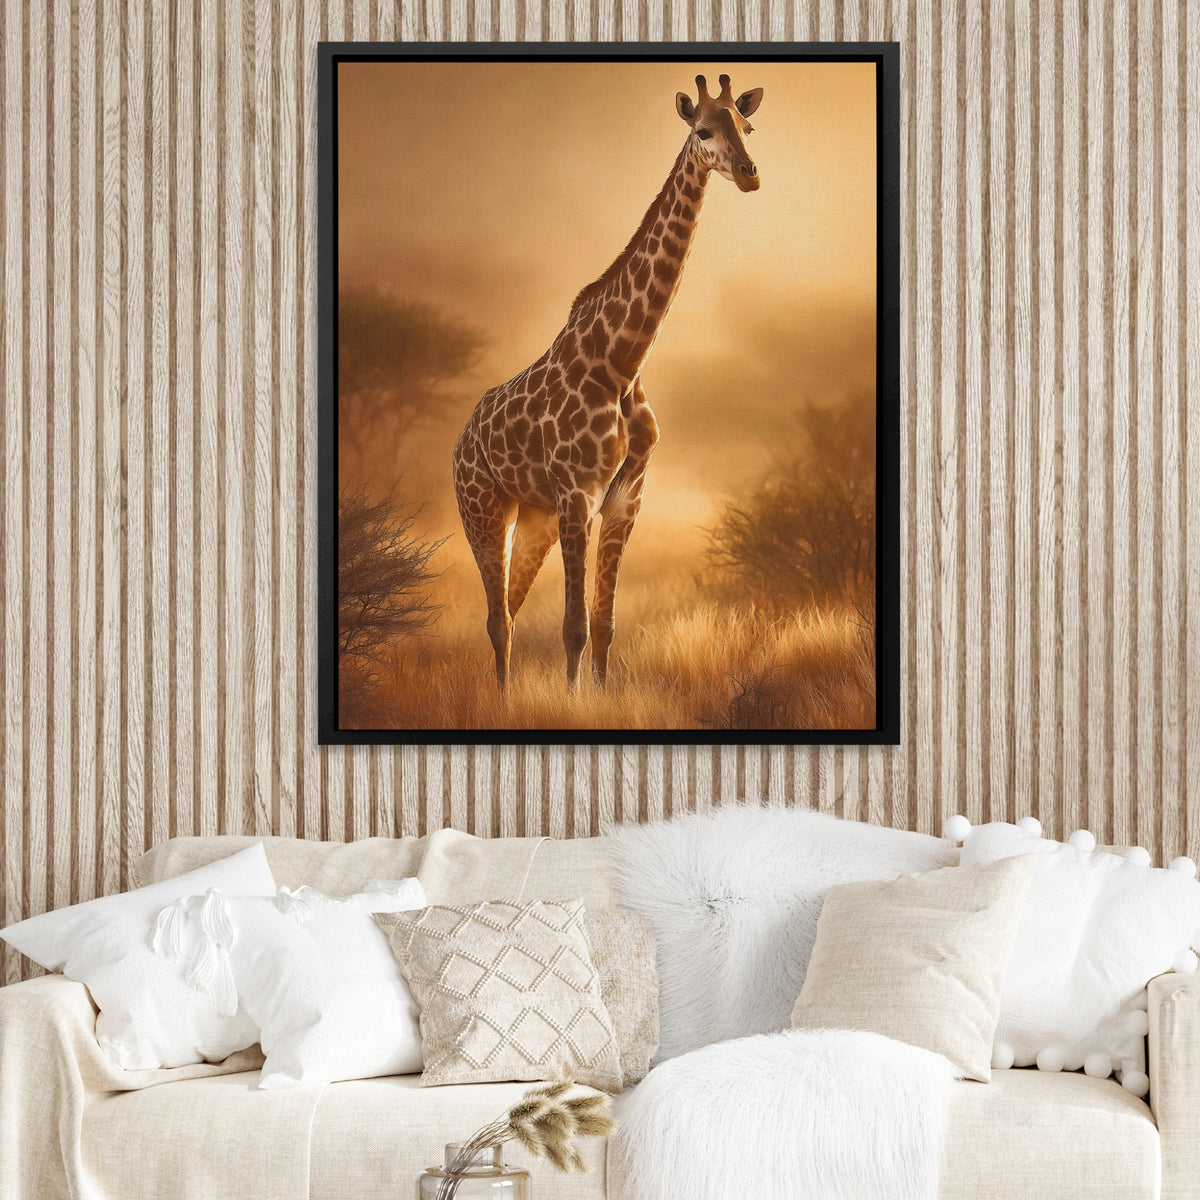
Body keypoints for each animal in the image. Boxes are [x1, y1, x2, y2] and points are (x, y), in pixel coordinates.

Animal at [453, 73, 764, 690]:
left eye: (747, 125)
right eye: (703, 130)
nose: (748, 173)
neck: (622, 362)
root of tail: (460, 441)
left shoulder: (626, 499)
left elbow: (604, 625)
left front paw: (598, 694)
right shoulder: (578, 495)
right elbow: (573, 626)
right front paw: (571, 699)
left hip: (535, 519)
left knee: (511, 611)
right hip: (484, 509)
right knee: (497, 619)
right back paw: (501, 699)